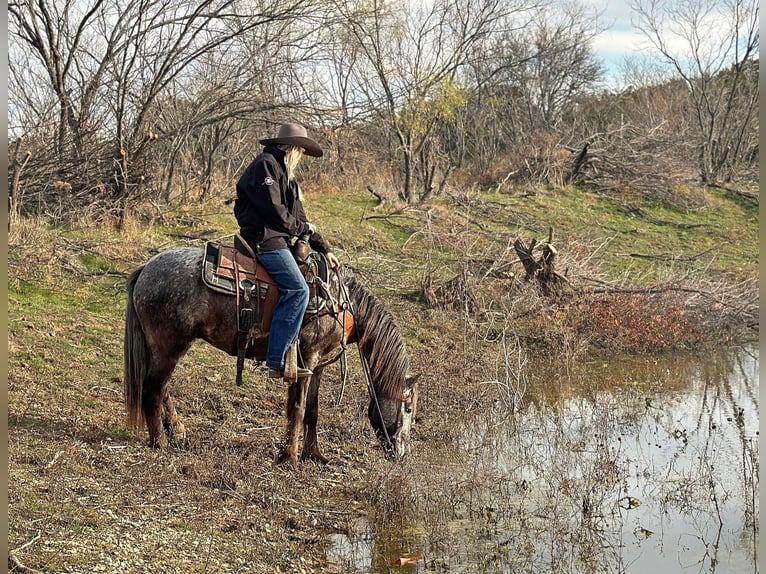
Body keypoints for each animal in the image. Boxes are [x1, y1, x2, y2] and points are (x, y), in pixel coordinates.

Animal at [123, 245, 420, 466]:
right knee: (154, 390)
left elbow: (312, 410)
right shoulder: (306, 359)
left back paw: (178, 433)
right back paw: (160, 442)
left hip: (165, 350)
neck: (337, 305)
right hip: (169, 347)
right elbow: (298, 408)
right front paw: (290, 458)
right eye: (407, 407)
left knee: (162, 389)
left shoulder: (318, 365)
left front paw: (314, 455)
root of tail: (146, 269)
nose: (402, 454)